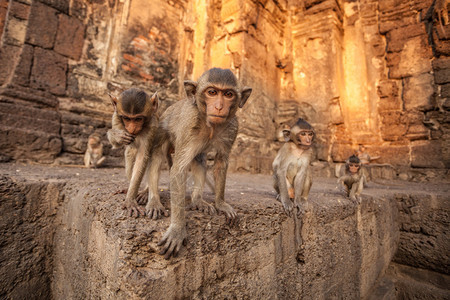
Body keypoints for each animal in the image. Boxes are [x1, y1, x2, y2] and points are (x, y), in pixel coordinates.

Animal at [106, 88, 161, 218]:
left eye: (138, 119)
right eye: (127, 118)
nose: (131, 129)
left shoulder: (152, 126)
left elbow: (142, 157)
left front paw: (130, 200)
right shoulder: (116, 117)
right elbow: (116, 144)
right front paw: (118, 135)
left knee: (154, 155)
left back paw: (146, 192)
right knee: (130, 153)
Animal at [147, 67, 253, 258]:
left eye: (228, 94)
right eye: (212, 92)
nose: (219, 106)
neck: (209, 124)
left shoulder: (233, 127)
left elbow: (221, 162)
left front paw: (220, 203)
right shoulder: (190, 124)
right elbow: (178, 169)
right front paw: (177, 229)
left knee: (199, 159)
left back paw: (197, 200)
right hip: (162, 129)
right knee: (158, 155)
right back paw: (153, 199)